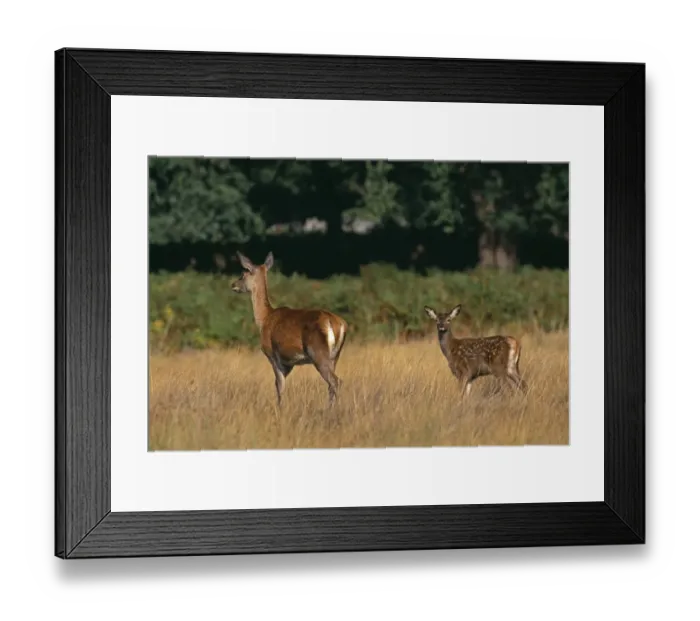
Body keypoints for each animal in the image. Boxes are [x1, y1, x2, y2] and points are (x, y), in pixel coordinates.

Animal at [231, 251, 348, 408]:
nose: (233, 284)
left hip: (318, 353)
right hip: (335, 356)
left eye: (243, 273)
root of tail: (337, 323)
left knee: (336, 381)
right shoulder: (289, 363)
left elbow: (279, 385)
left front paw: (280, 409)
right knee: (331, 384)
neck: (265, 318)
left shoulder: (273, 355)